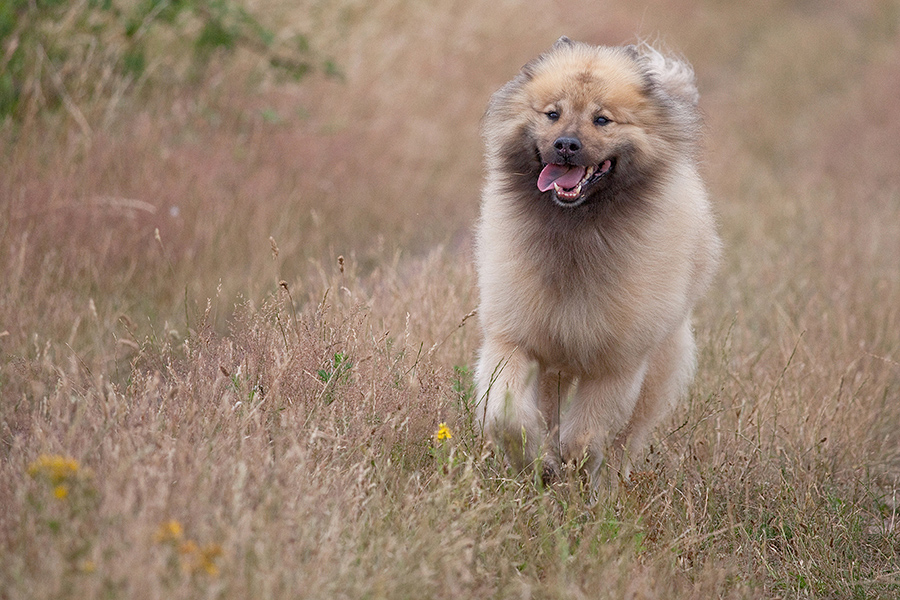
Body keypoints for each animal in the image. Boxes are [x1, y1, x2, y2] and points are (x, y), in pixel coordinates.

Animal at [474, 37, 720, 482]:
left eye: (602, 120)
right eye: (552, 114)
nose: (566, 145)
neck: (576, 231)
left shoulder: (617, 362)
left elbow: (586, 435)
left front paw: (571, 469)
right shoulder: (515, 338)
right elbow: (508, 414)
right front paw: (536, 461)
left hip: (657, 363)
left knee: (627, 438)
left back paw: (608, 483)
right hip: (554, 363)